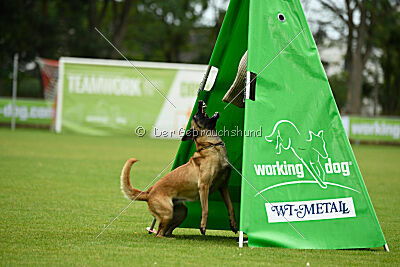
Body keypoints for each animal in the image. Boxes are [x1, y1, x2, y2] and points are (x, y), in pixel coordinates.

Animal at [119, 101, 238, 238]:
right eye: (196, 116)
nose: (200, 102)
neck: (212, 147)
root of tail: (149, 192)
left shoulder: (223, 186)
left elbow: (231, 207)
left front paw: (234, 225)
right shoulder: (204, 186)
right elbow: (206, 209)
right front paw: (203, 226)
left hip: (182, 212)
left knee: (166, 231)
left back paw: (173, 237)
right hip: (168, 212)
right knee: (159, 233)